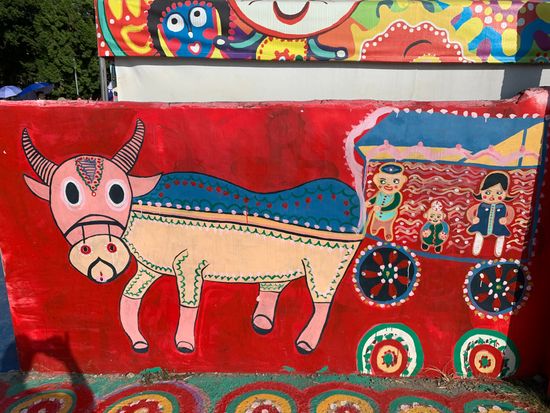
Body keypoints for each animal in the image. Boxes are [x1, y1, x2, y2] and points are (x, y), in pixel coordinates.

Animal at [22, 120, 363, 354]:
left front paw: (184, 344)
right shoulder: (149, 268)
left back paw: (306, 343)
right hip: (284, 263)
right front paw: (139, 343)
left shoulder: (188, 264)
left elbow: (189, 303)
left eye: (117, 193)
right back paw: (262, 323)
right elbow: (128, 298)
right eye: (67, 195)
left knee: (322, 303)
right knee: (273, 286)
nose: (98, 253)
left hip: (326, 266)